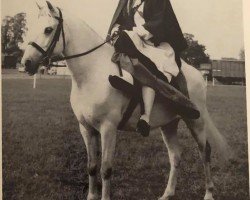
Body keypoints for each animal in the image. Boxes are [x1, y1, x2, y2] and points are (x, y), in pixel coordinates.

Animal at [22, 1, 229, 200]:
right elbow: (92, 166)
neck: (92, 73)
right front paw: (91, 195)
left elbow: (105, 169)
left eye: (48, 29)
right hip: (169, 124)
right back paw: (167, 194)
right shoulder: (86, 128)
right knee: (175, 156)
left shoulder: (108, 128)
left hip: (196, 122)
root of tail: (197, 74)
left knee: (205, 152)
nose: (26, 63)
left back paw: (208, 193)